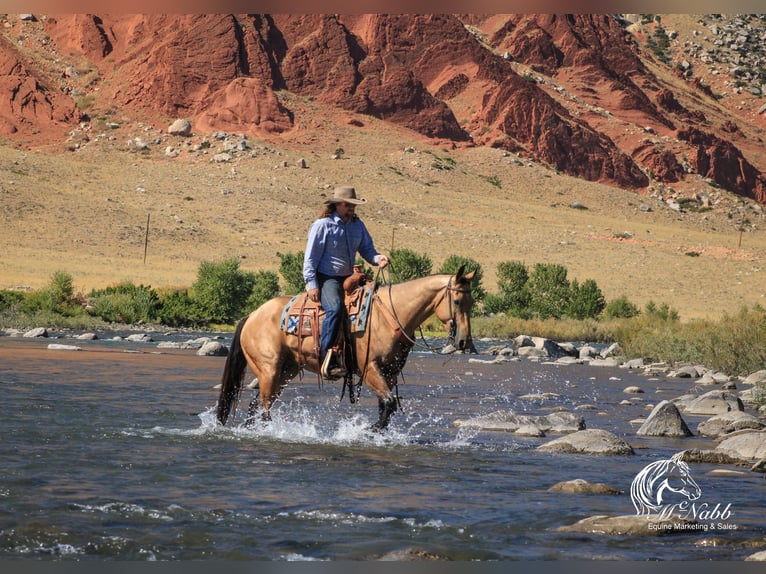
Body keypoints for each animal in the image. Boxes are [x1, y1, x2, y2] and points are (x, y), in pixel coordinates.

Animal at [216, 268, 476, 434]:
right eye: (457, 301)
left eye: (472, 302)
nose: (464, 342)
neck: (391, 315)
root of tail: (251, 315)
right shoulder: (369, 369)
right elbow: (389, 404)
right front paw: (367, 430)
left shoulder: (389, 373)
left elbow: (386, 407)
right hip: (269, 369)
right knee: (264, 407)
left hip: (285, 371)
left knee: (256, 405)